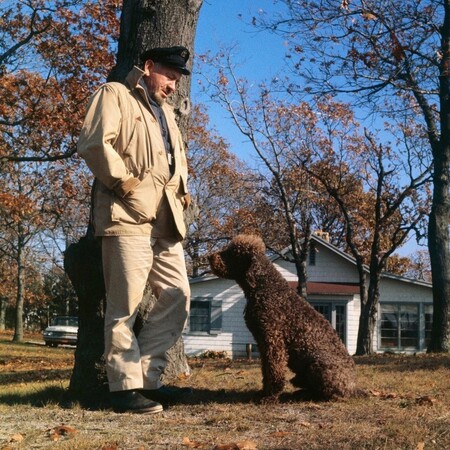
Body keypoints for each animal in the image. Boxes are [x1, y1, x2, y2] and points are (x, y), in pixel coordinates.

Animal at [208, 236, 358, 400]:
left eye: (232, 252)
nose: (209, 257)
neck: (266, 287)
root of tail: (353, 387)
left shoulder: (273, 340)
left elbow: (274, 370)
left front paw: (270, 396)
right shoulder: (262, 342)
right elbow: (266, 370)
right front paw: (264, 392)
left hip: (318, 365)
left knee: (328, 394)